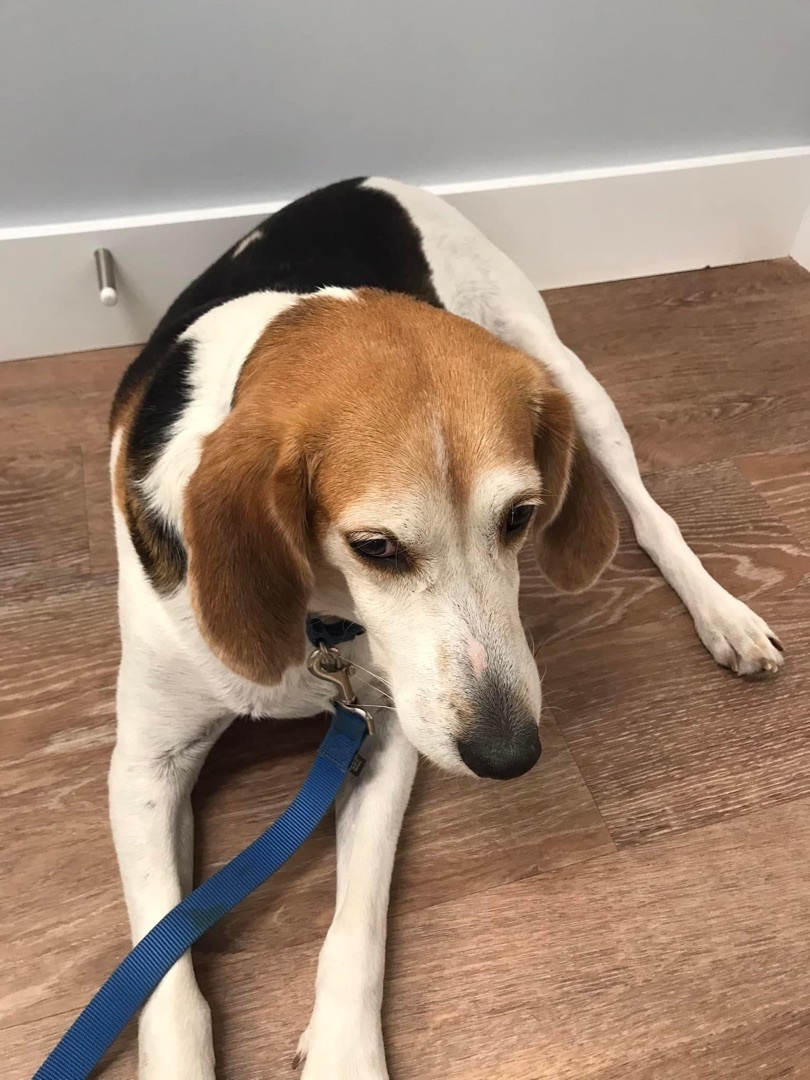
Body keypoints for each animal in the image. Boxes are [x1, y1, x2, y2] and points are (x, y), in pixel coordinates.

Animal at [109, 179, 786, 1080]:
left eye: (521, 516)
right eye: (375, 547)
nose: (509, 754)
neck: (324, 626)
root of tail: (370, 180)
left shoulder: (388, 728)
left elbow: (357, 922)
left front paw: (345, 1054)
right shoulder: (146, 764)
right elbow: (163, 968)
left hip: (567, 377)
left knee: (647, 513)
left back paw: (724, 615)